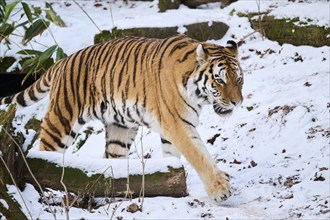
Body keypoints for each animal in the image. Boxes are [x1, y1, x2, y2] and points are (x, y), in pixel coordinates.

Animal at [0, 34, 242, 203]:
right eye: (220, 80)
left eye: (238, 79)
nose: (237, 102)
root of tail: (62, 60)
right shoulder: (179, 125)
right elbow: (200, 156)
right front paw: (220, 190)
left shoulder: (173, 129)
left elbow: (174, 158)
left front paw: (172, 184)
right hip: (61, 121)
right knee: (44, 154)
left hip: (119, 130)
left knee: (111, 161)